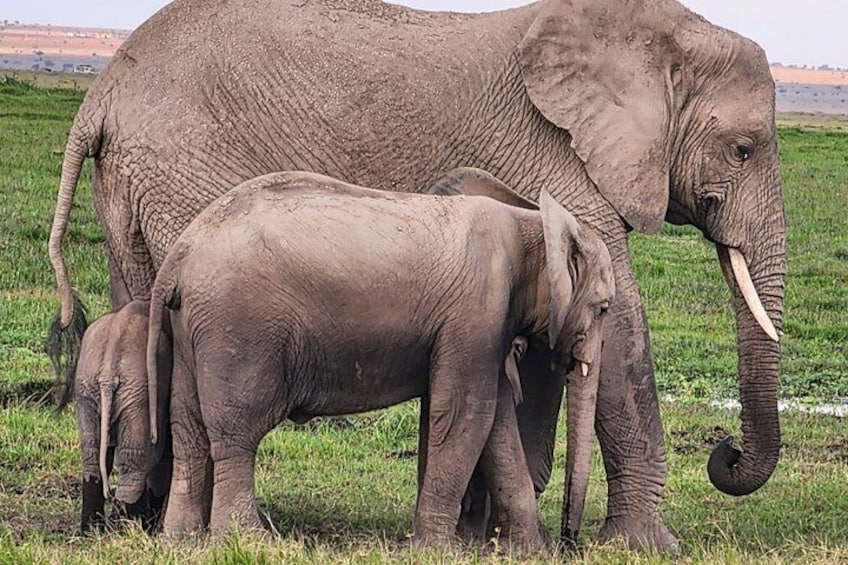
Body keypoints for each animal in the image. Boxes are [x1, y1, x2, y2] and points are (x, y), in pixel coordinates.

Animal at [74, 300, 172, 534]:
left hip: (87, 385)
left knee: (92, 454)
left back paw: (91, 533)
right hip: (137, 390)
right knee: (134, 462)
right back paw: (131, 531)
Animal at [144, 170, 615, 546]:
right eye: (605, 308)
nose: (571, 540)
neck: (529, 221)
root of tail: (181, 252)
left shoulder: (487, 327)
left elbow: (495, 423)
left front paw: (530, 551)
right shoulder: (477, 313)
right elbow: (466, 414)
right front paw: (435, 550)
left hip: (191, 328)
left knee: (187, 426)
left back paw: (182, 541)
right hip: (239, 329)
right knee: (237, 430)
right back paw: (247, 541)